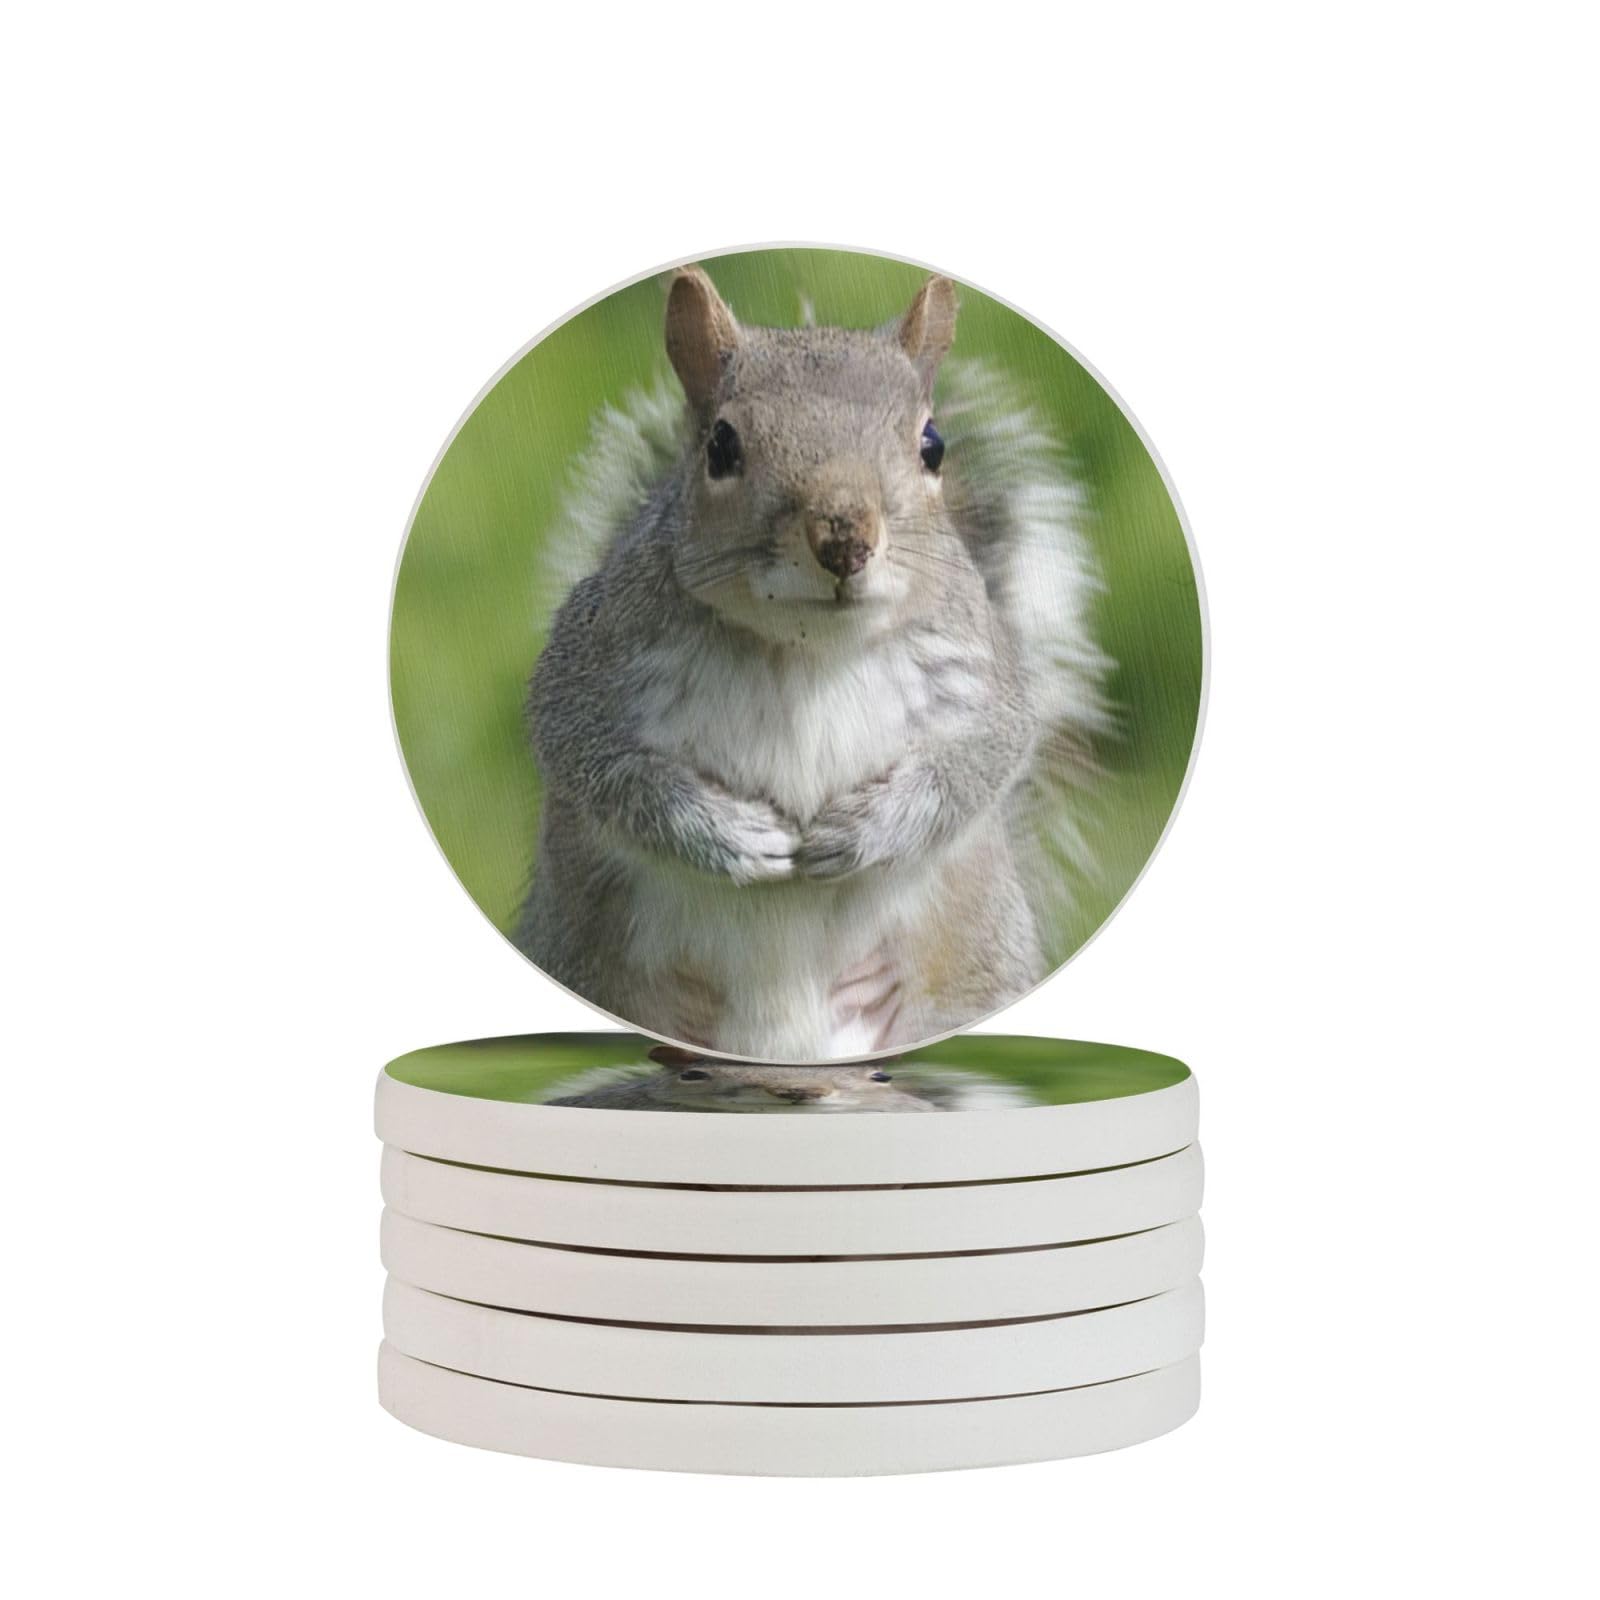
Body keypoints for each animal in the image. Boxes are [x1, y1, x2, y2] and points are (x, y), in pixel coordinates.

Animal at [516, 266, 1110, 1062]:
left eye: (933, 445)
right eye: (720, 445)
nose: (844, 538)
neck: (806, 647)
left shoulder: (987, 674)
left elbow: (983, 759)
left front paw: (863, 831)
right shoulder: (591, 659)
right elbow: (595, 762)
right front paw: (728, 834)